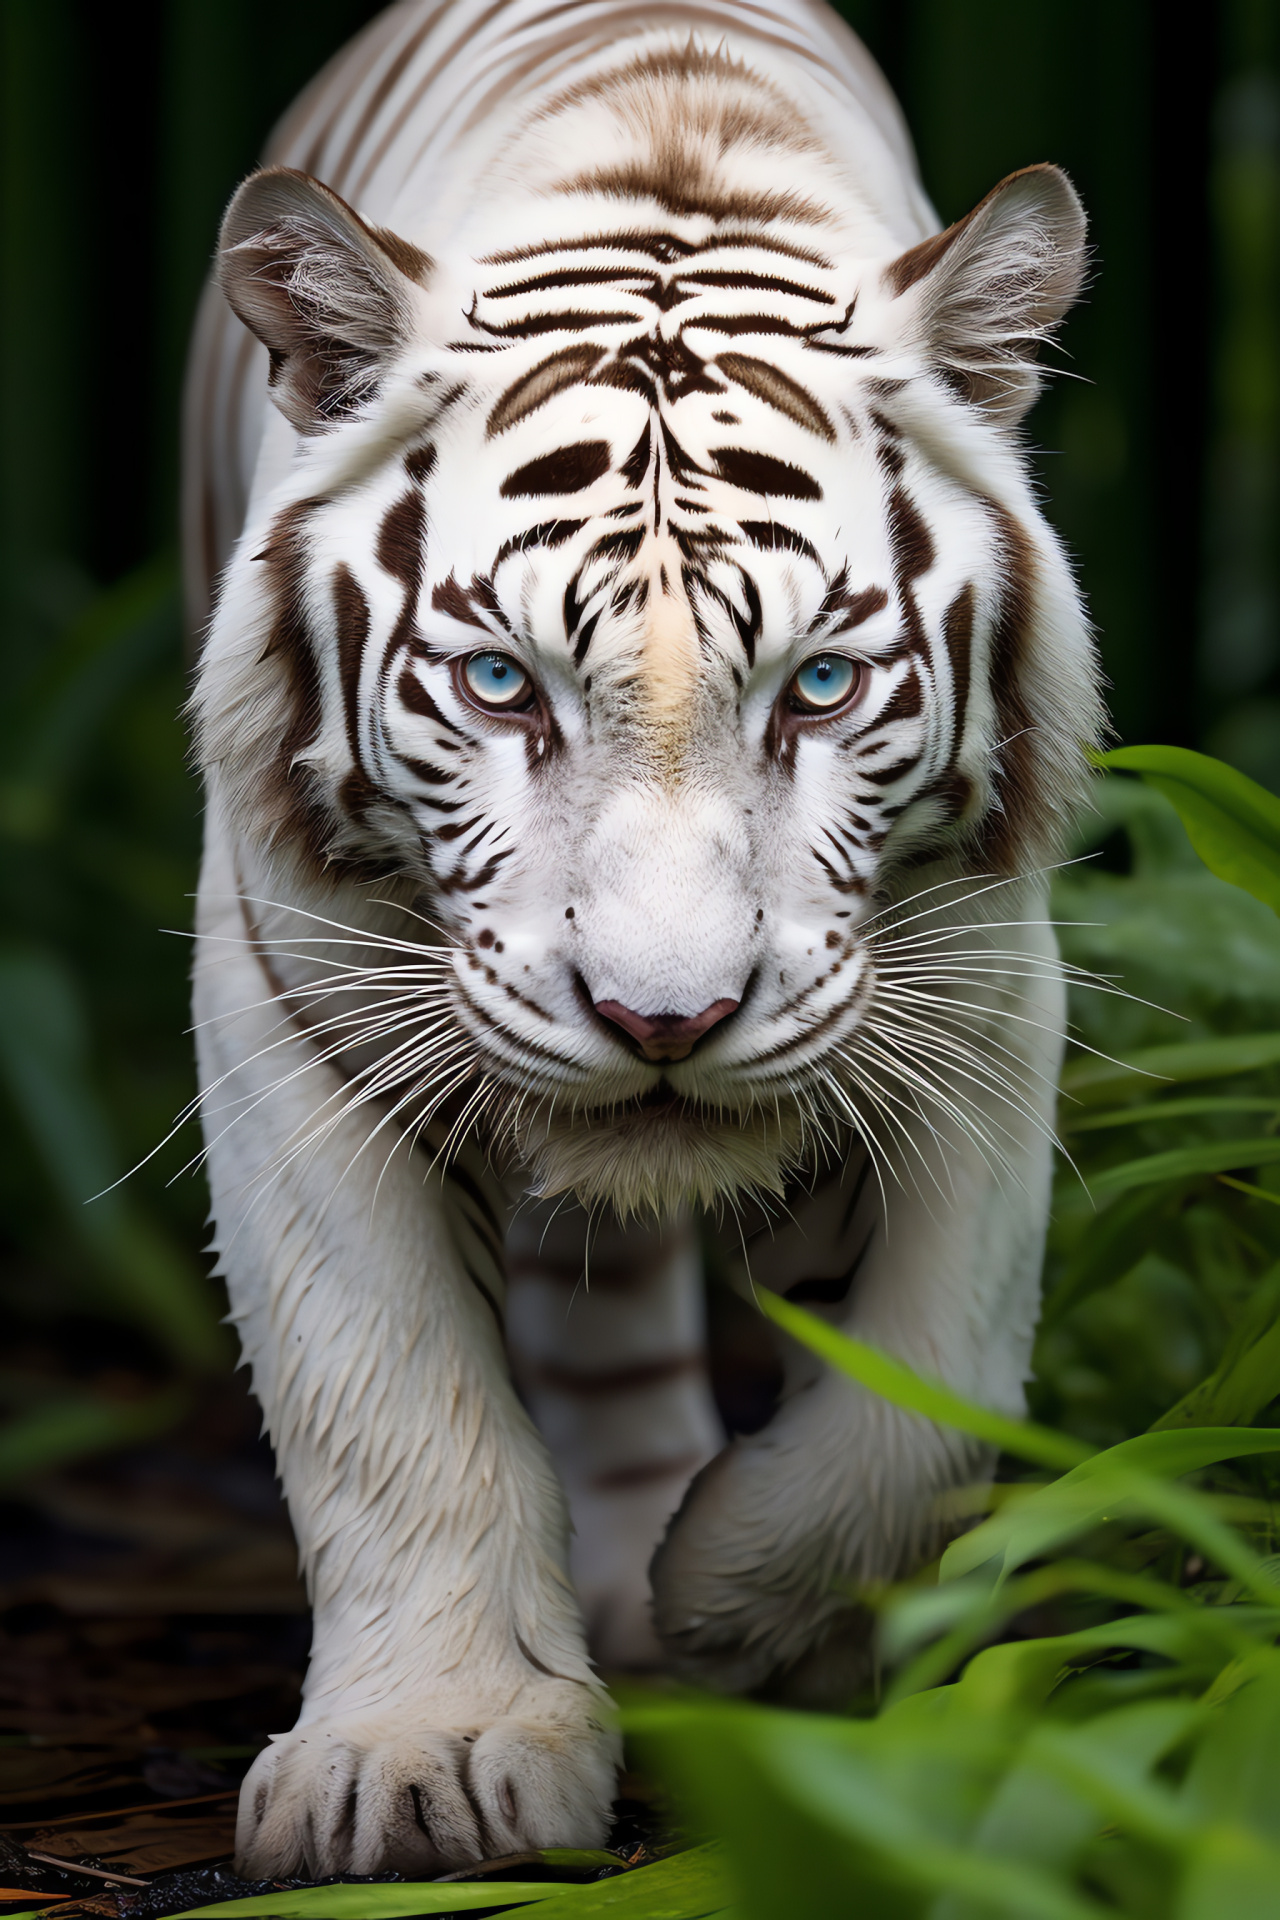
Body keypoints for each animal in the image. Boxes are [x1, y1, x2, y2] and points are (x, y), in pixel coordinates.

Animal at [188, 0, 1105, 1873]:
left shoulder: (982, 994)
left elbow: (924, 1388)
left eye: (818, 687)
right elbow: (387, 1398)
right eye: (498, 684)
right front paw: (425, 1761)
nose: (663, 1021)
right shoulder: (286, 994)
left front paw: (738, 1613)